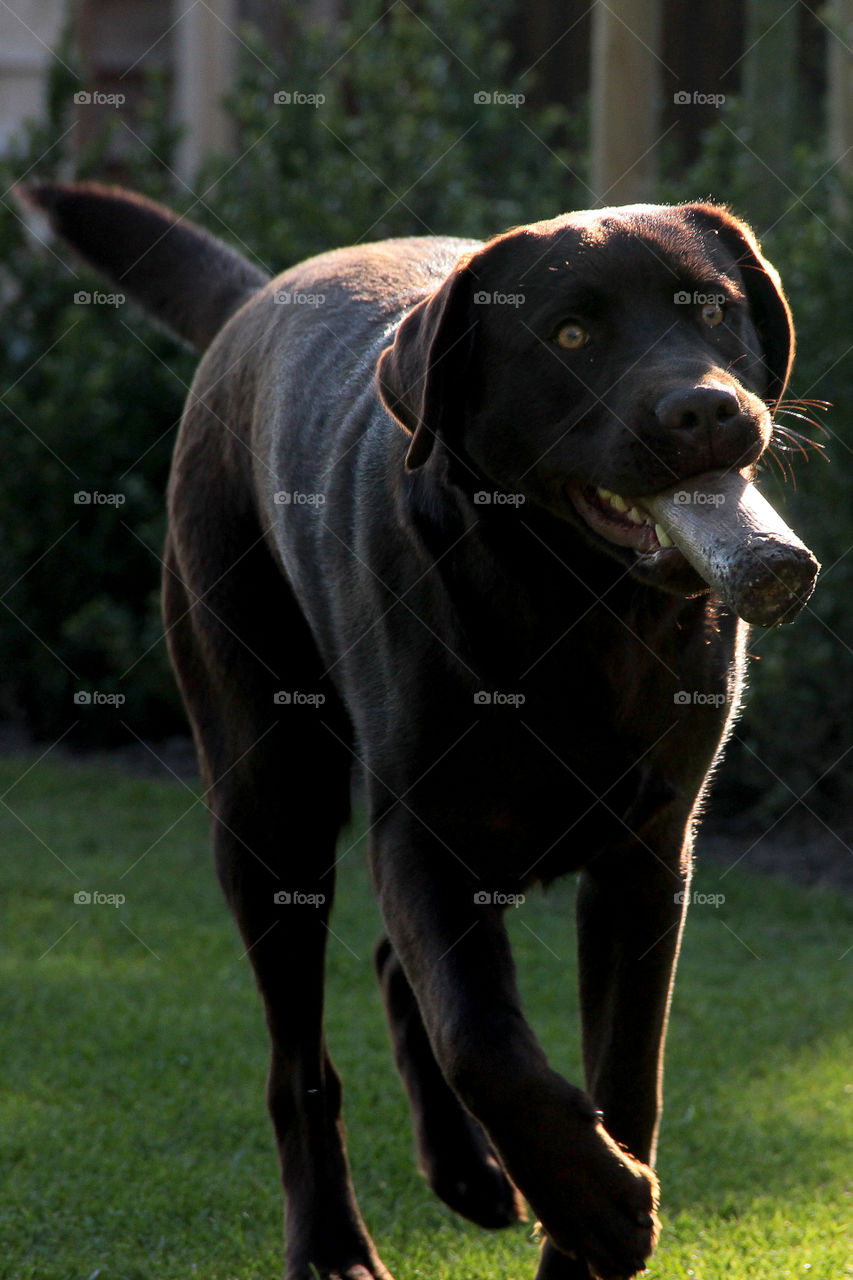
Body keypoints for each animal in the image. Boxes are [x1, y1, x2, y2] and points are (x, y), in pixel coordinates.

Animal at [24, 183, 788, 1280]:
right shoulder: (420, 832)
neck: (576, 606)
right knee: (300, 1061)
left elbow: (623, 1074)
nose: (705, 410)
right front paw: (600, 1202)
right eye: (569, 334)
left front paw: (588, 1223)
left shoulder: (647, 855)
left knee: (395, 966)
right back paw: (334, 1244)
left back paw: (467, 1173)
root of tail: (259, 295)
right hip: (270, 803)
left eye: (716, 312)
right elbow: (480, 1036)